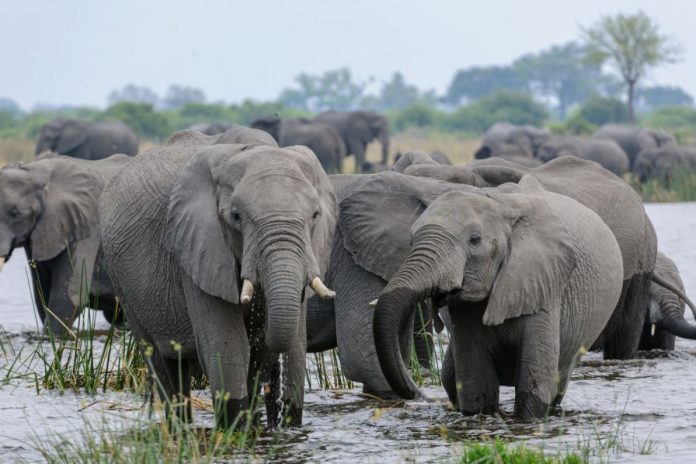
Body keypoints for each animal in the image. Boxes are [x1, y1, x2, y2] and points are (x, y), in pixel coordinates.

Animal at [99, 126, 338, 429]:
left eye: (316, 215)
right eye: (236, 217)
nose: (276, 405)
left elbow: (294, 342)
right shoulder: (196, 247)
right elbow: (228, 345)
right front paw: (236, 427)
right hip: (123, 281)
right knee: (161, 362)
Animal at [372, 175, 624, 419]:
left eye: (474, 240)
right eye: (411, 240)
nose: (416, 392)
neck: (501, 205)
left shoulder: (544, 286)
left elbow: (533, 387)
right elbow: (477, 387)